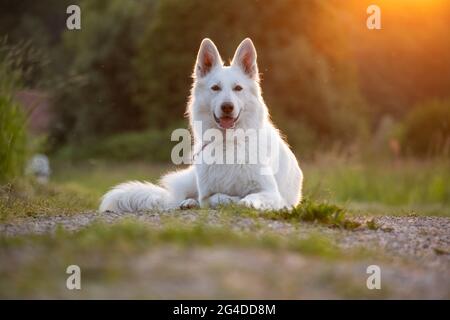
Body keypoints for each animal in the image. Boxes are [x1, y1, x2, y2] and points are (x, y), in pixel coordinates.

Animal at [99, 38, 302, 212]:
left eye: (238, 88)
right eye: (215, 88)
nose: (227, 107)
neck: (227, 143)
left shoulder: (272, 194)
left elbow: (253, 197)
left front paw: (245, 201)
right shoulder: (207, 195)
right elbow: (217, 198)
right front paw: (232, 199)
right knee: (181, 198)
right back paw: (188, 203)